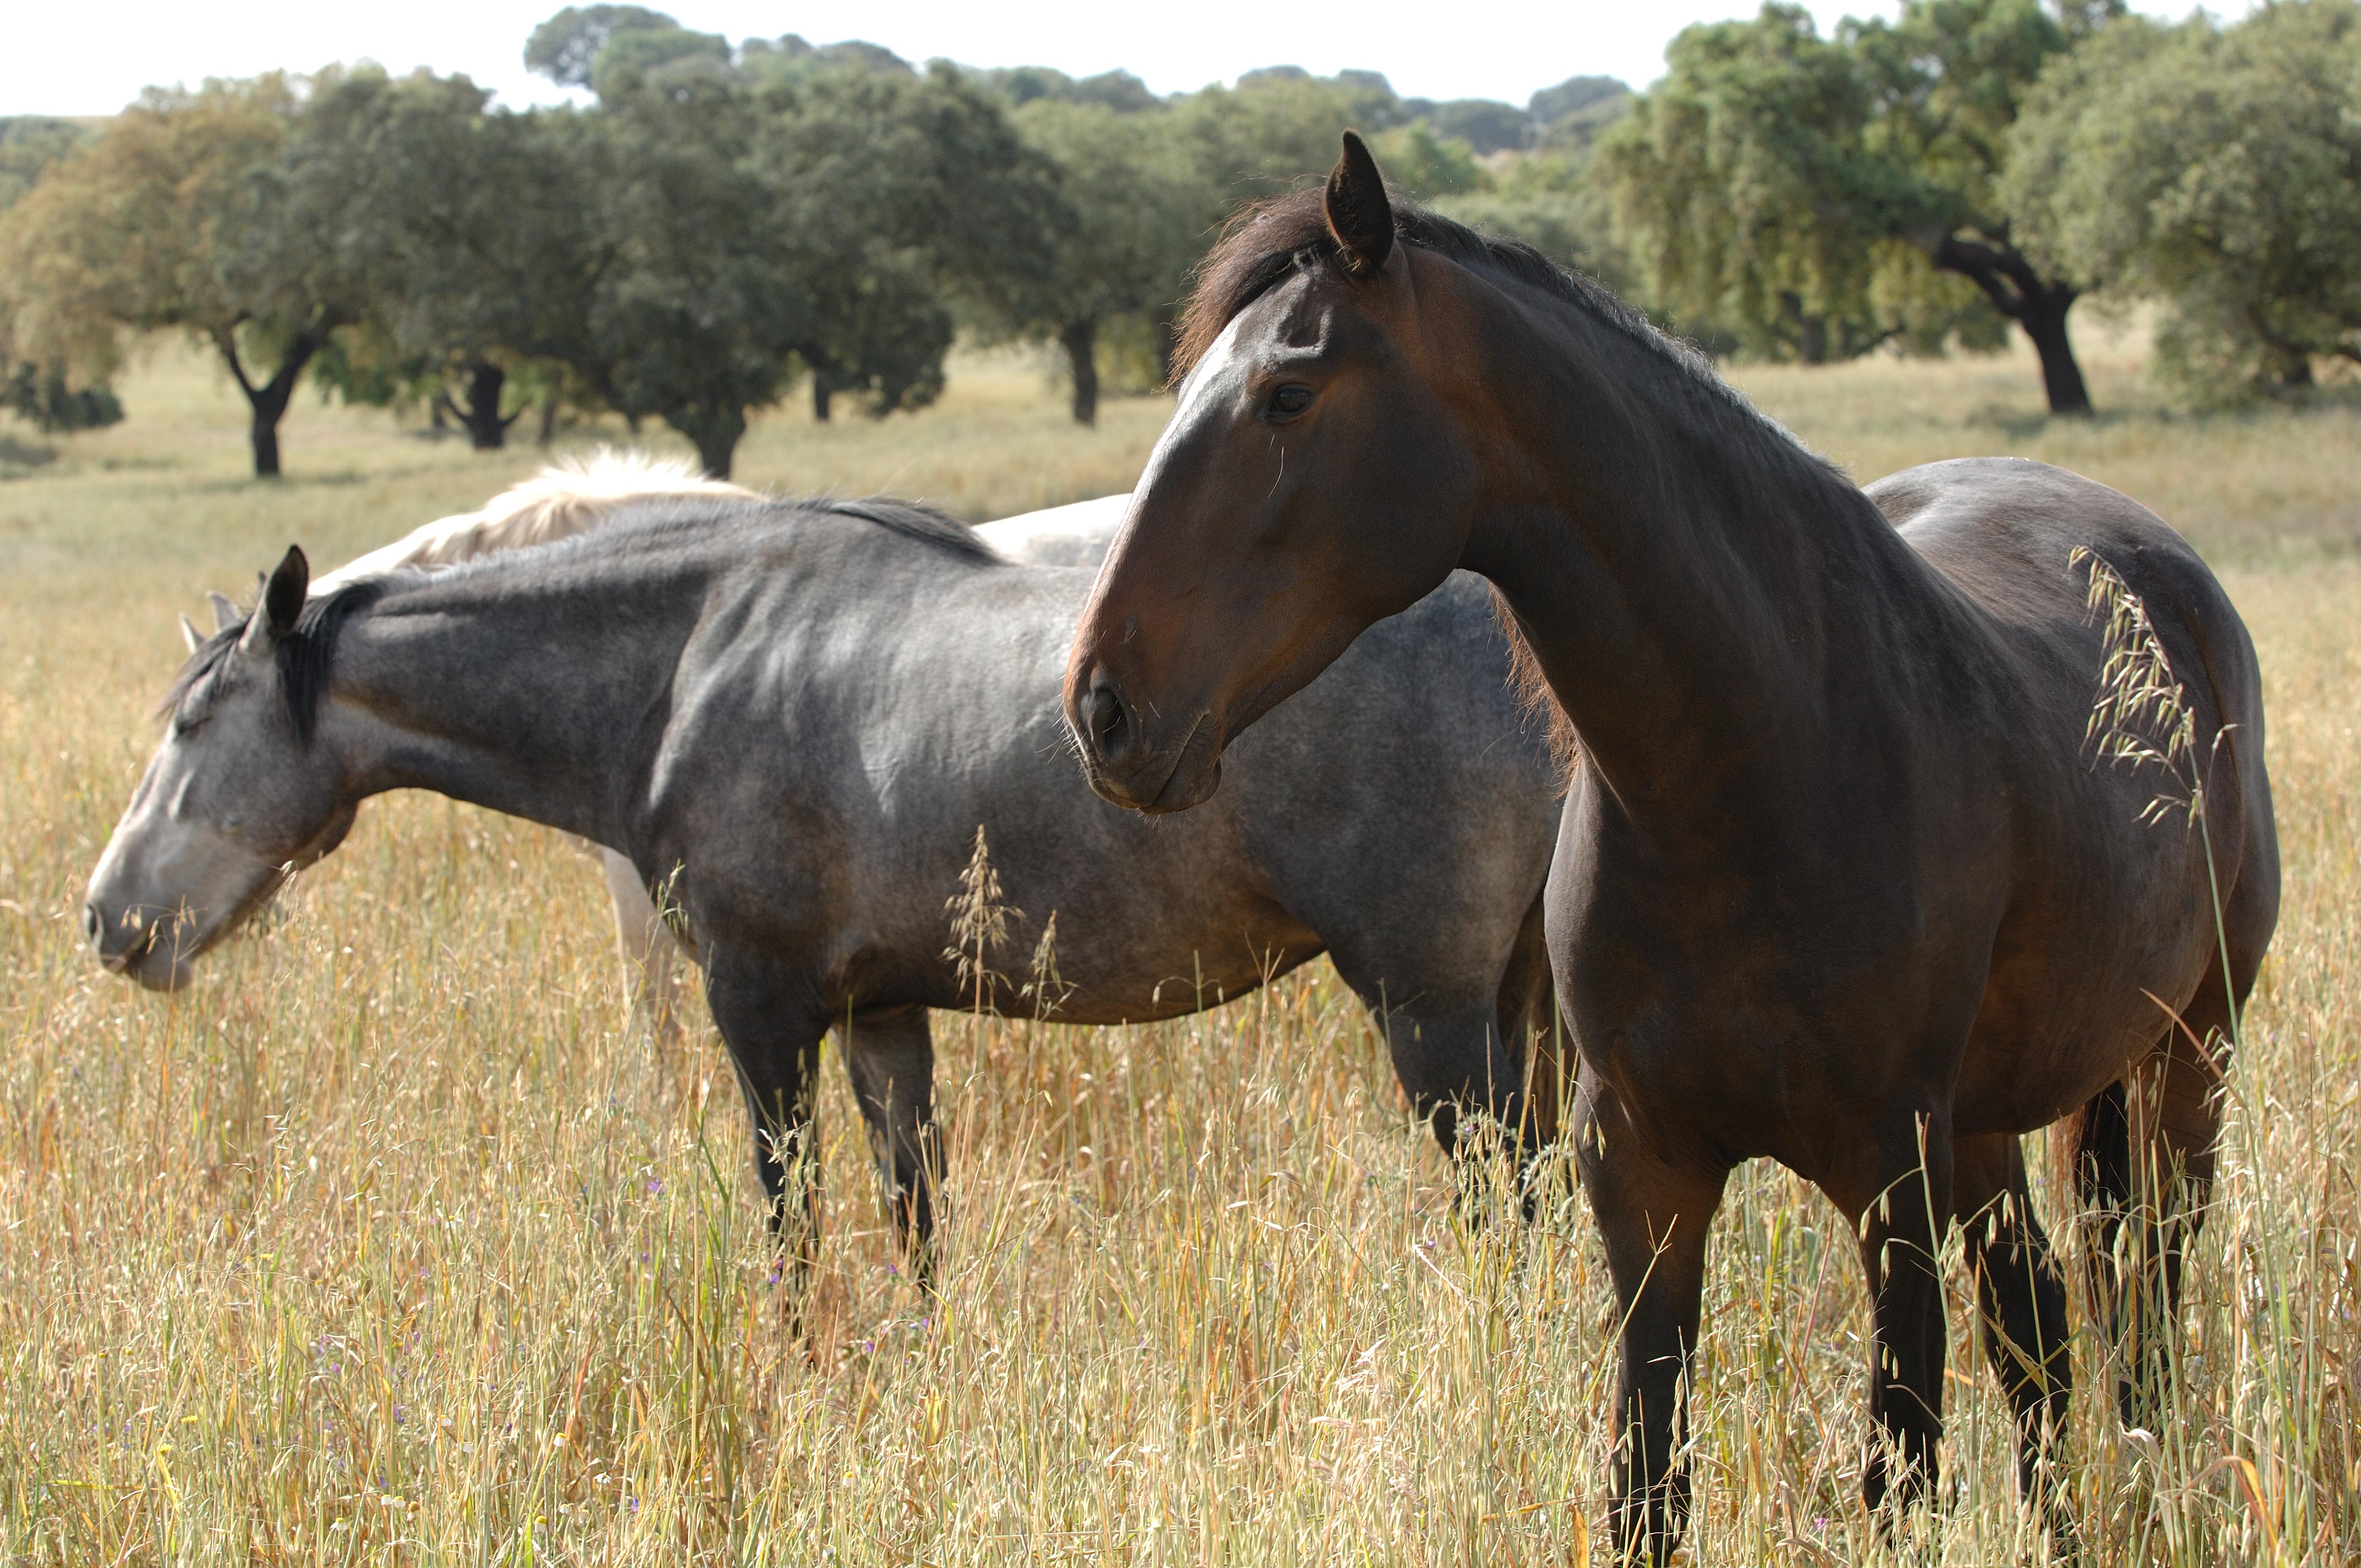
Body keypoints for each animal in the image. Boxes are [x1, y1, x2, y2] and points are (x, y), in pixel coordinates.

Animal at [1062, 137, 2276, 1558]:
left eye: (1286, 394)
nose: (1102, 705)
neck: (1755, 766)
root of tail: (2157, 565)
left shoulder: (1886, 1179)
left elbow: (1897, 1474)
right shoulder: (1641, 1170)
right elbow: (1646, 1481)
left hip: (2182, 1063)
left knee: (2141, 1318)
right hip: (1986, 1123)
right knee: (2038, 1326)